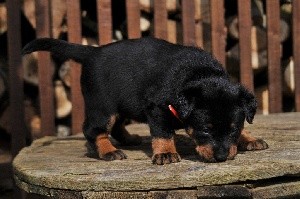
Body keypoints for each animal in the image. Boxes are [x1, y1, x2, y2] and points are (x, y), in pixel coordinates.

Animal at [22, 37, 268, 165]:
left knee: (117, 125)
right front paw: (165, 153)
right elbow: (163, 133)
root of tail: (93, 53)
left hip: (121, 104)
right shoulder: (157, 109)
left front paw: (248, 138)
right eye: (205, 130)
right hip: (102, 106)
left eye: (233, 129)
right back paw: (107, 150)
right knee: (93, 129)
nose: (221, 157)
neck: (199, 73)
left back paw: (128, 139)